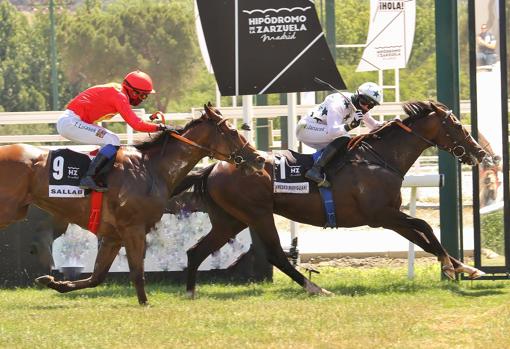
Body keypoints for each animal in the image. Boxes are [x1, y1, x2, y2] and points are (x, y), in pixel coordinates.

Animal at [0, 104, 262, 304]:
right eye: (232, 131)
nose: (258, 158)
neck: (151, 168)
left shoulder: (113, 235)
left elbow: (97, 277)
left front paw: (53, 282)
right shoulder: (133, 228)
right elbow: (137, 271)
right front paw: (145, 303)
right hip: (8, 211)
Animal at [176, 100, 490, 296]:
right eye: (457, 125)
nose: (480, 153)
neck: (380, 159)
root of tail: (215, 166)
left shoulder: (391, 217)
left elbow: (423, 238)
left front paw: (466, 267)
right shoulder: (381, 216)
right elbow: (425, 227)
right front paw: (451, 266)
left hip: (232, 220)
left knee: (196, 251)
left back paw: (191, 292)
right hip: (258, 214)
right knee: (276, 255)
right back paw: (316, 288)